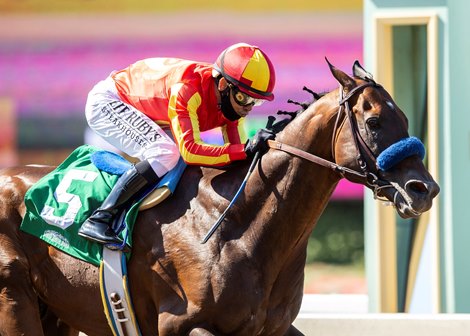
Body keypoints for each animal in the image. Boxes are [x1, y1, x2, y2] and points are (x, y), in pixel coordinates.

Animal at [0, 61, 440, 336]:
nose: (424, 190)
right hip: (15, 304)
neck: (236, 227)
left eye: (405, 117)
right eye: (374, 121)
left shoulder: (272, 329)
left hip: (58, 312)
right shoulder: (179, 326)